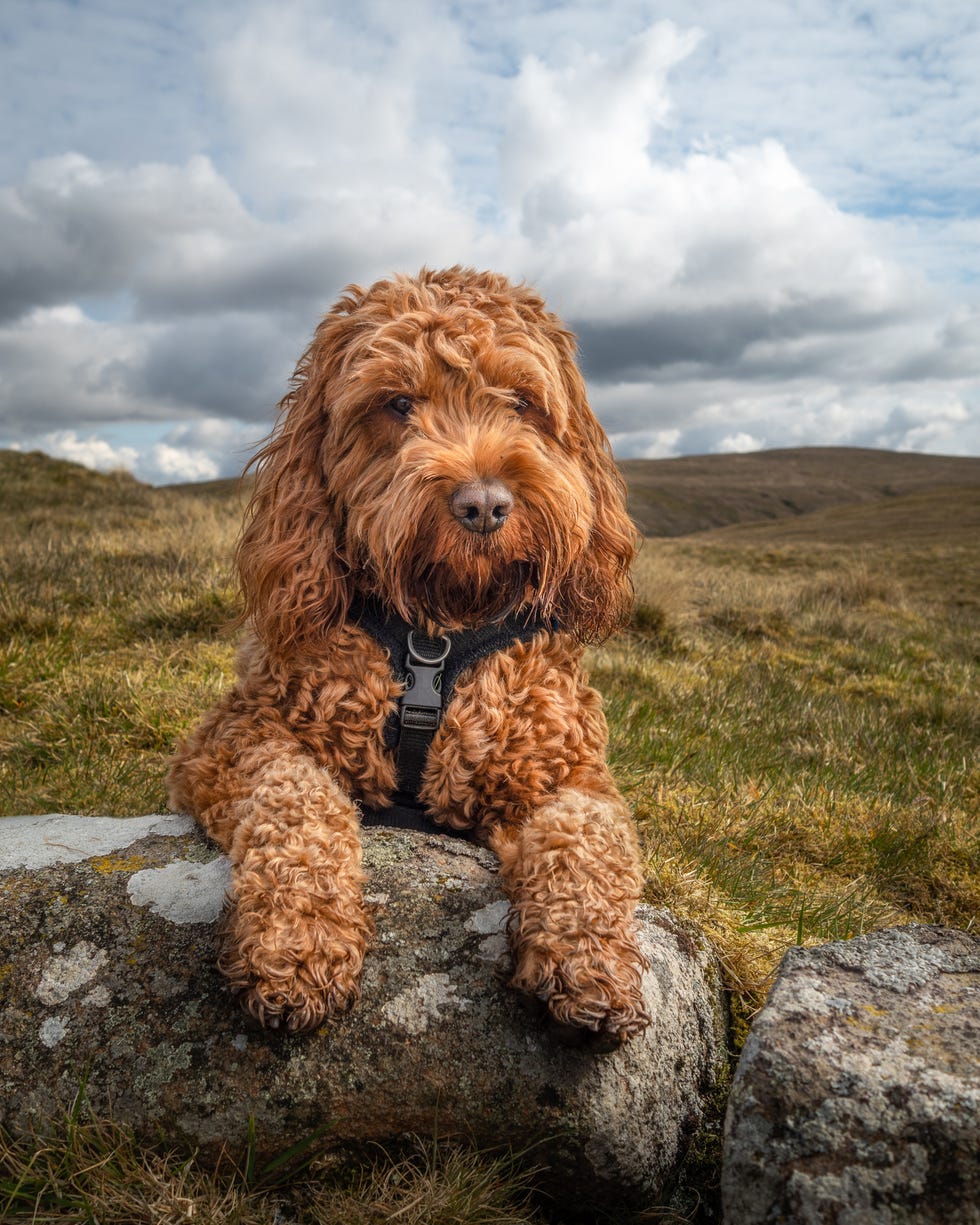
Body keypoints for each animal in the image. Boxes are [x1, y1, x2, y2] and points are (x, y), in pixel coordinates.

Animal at [170, 268, 651, 1043]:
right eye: (398, 403)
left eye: (521, 401)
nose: (484, 505)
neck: (439, 628)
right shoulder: (235, 735)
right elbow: (296, 801)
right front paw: (297, 942)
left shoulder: (567, 769)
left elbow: (588, 839)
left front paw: (590, 959)